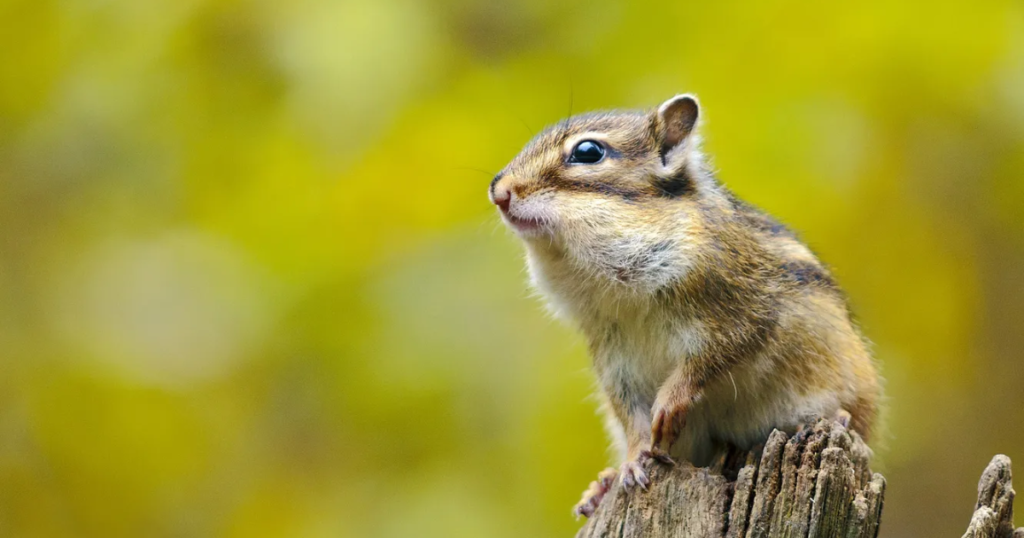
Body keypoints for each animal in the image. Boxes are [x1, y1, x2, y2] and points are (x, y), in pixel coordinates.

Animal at [488, 95, 882, 518]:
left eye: (588, 152)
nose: (499, 191)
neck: (623, 291)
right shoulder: (612, 357)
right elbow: (628, 414)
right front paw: (632, 462)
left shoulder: (745, 307)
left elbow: (715, 356)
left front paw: (670, 404)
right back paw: (600, 489)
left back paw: (837, 417)